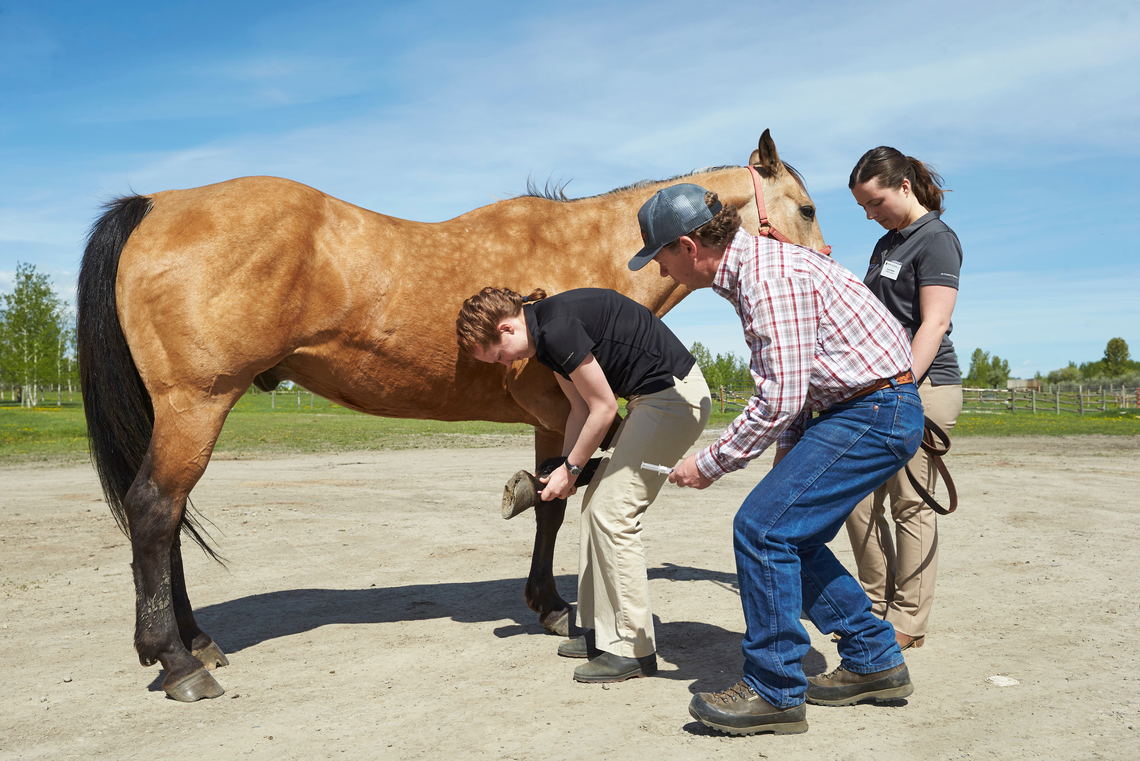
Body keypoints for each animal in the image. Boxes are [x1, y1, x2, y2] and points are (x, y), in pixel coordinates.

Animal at [78, 126, 829, 701]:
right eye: (807, 206)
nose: (828, 264)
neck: (580, 253)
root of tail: (156, 204)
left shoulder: (552, 419)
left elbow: (557, 499)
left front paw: (549, 602)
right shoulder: (561, 401)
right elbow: (576, 481)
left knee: (169, 519)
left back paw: (196, 641)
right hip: (196, 404)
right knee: (155, 510)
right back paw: (177, 660)